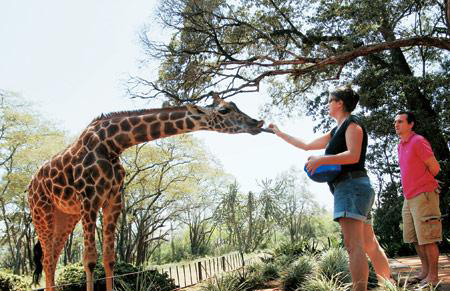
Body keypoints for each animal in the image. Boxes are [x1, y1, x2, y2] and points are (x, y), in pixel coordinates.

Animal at [28, 94, 266, 290]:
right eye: (224, 110)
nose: (257, 123)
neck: (112, 144)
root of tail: (29, 188)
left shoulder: (114, 199)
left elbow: (109, 258)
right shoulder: (89, 198)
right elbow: (90, 259)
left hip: (66, 216)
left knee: (52, 259)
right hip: (42, 213)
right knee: (47, 260)